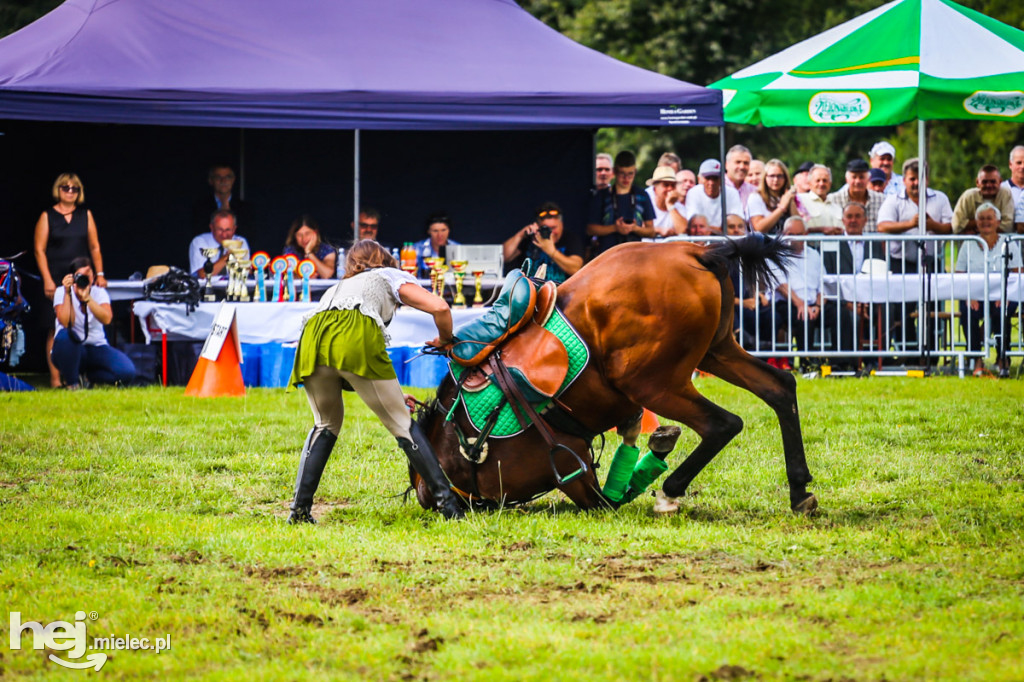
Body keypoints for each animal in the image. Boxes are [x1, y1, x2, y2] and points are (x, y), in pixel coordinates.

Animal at [407, 236, 815, 512]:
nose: (434, 500)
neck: (463, 428)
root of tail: (697, 251)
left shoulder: (572, 473)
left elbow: (611, 496)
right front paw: (657, 442)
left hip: (652, 383)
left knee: (722, 424)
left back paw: (670, 493)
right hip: (718, 352)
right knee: (780, 387)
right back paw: (799, 489)